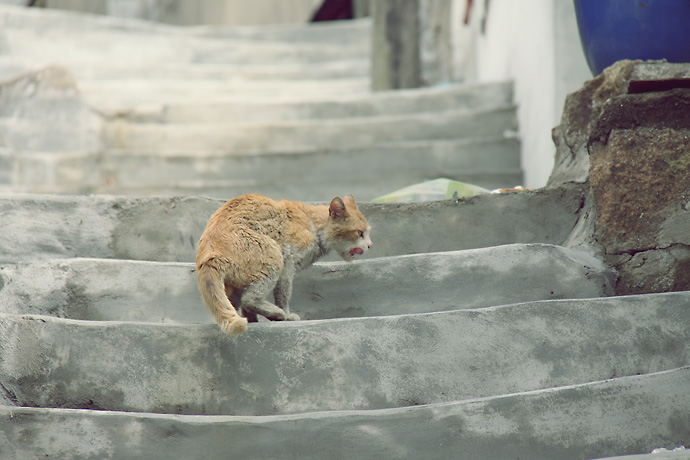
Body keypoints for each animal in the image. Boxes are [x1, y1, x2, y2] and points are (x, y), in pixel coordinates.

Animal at [194, 193, 370, 334]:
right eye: (359, 233)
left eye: (367, 233)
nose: (370, 245)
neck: (312, 224)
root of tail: (211, 253)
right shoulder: (288, 261)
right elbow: (283, 293)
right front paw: (286, 314)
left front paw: (254, 319)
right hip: (273, 257)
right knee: (250, 299)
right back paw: (277, 313)